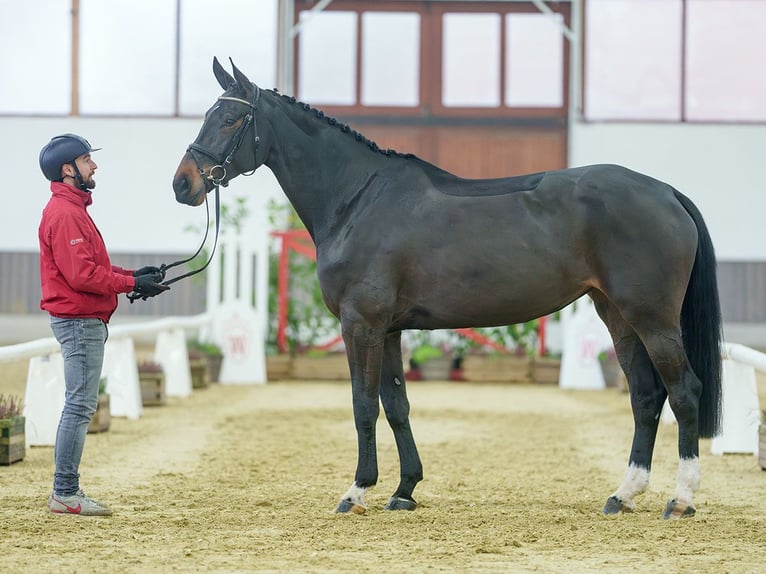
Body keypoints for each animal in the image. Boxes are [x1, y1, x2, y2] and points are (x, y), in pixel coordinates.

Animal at [171, 59, 724, 520]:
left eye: (228, 118)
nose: (183, 184)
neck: (357, 200)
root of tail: (665, 192)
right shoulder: (389, 330)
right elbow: (396, 405)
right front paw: (404, 491)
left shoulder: (361, 325)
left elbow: (363, 404)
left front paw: (357, 491)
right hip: (617, 315)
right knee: (646, 395)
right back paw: (623, 494)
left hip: (651, 317)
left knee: (684, 391)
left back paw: (681, 499)